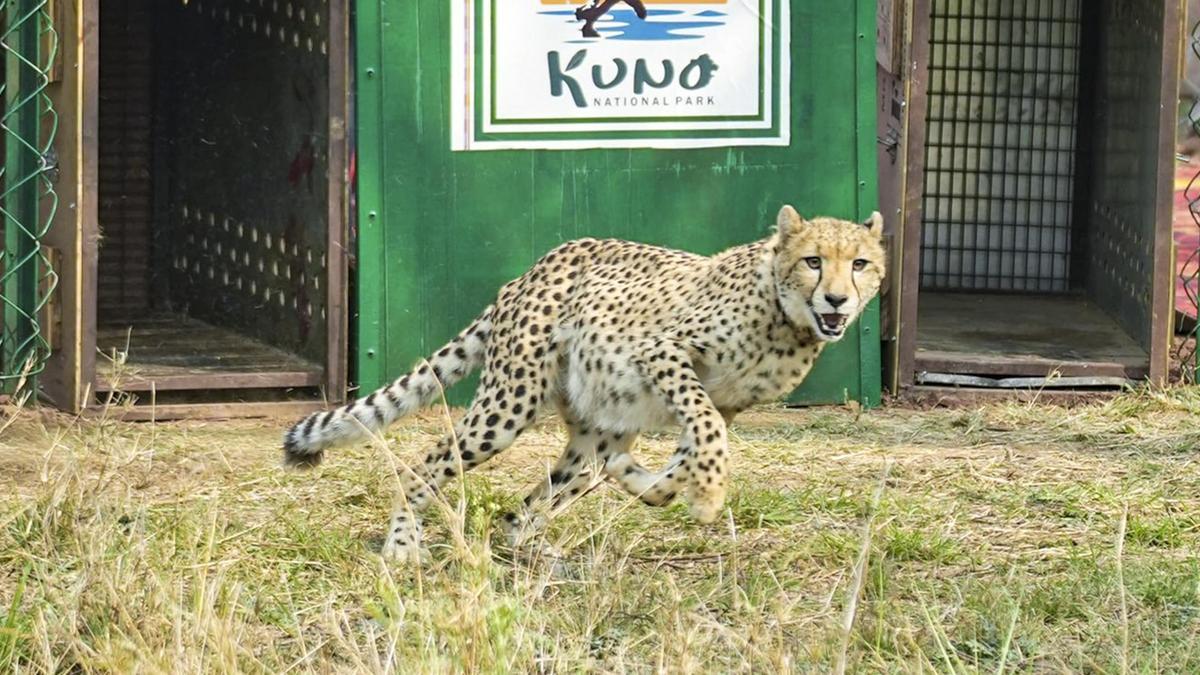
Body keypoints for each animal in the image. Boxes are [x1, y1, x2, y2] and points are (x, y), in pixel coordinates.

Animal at [281, 205, 887, 563]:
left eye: (859, 263)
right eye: (813, 261)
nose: (837, 300)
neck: (786, 321)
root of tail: (532, 269)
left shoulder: (725, 401)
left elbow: (686, 454)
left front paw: (652, 483)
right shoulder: (664, 352)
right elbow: (706, 433)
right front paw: (709, 494)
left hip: (592, 427)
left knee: (543, 494)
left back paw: (534, 551)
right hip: (507, 406)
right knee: (426, 462)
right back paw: (404, 545)